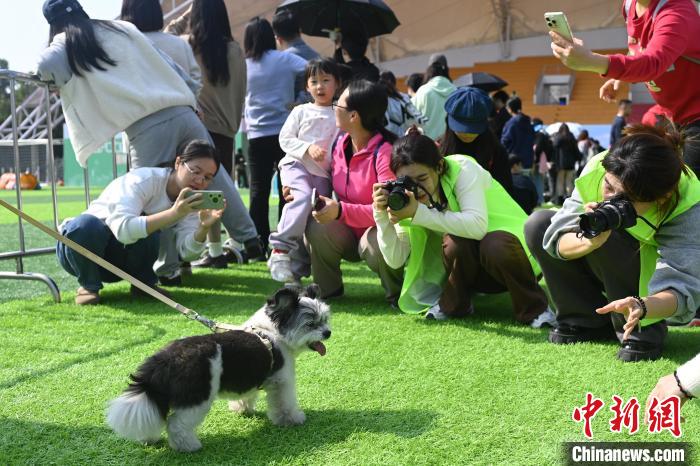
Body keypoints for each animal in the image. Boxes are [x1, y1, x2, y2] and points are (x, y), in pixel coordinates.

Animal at [106, 284, 330, 452]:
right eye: (311, 324)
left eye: (325, 320)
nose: (327, 332)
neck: (271, 333)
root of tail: (165, 358)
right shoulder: (282, 381)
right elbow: (285, 404)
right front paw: (292, 419)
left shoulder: (249, 376)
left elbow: (247, 395)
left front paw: (242, 408)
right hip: (197, 398)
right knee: (176, 423)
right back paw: (188, 446)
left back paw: (148, 438)